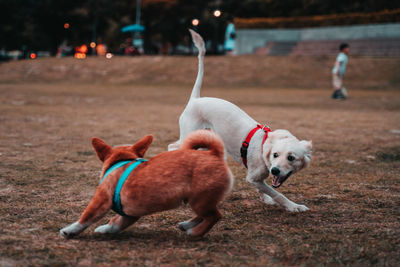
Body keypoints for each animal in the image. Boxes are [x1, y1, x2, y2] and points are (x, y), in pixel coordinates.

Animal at [60, 130, 233, 239]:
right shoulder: (130, 213)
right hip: (198, 200)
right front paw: (106, 229)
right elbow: (117, 223)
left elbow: (86, 217)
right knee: (206, 214)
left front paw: (69, 231)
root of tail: (214, 154)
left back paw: (196, 232)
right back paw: (187, 225)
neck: (122, 160)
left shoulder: (101, 200)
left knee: (214, 216)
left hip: (200, 200)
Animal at [169, 30, 312, 213]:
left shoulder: (258, 178)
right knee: (171, 147)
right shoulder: (253, 177)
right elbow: (277, 194)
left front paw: (266, 199)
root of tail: (195, 99)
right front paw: (294, 206)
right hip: (189, 134)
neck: (265, 147)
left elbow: (265, 189)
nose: (274, 170)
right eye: (275, 155)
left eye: (291, 158)